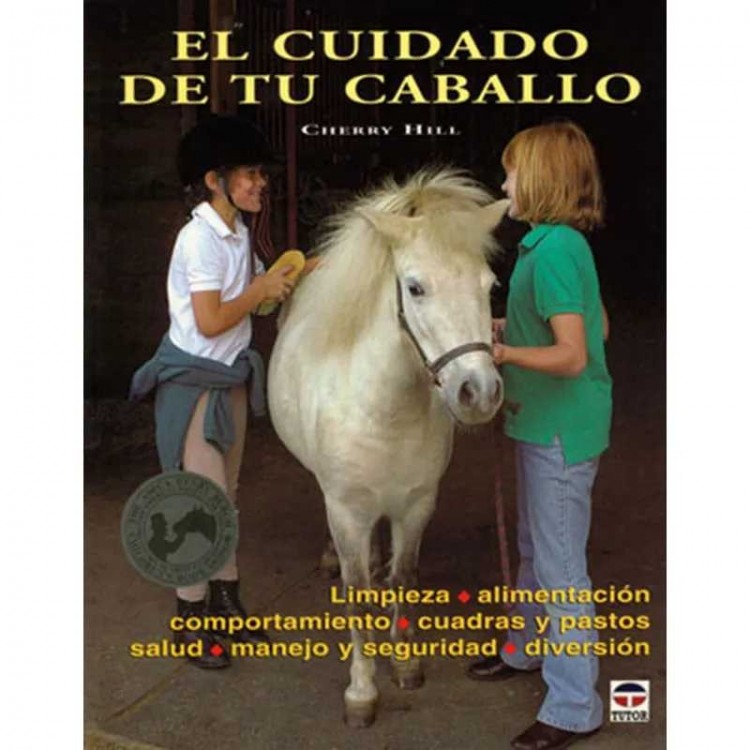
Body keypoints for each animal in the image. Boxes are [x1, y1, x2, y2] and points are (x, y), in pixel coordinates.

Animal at [268, 168, 509, 727]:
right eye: (415, 288)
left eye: (490, 285)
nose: (479, 392)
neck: (385, 408)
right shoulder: (345, 509)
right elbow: (355, 596)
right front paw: (361, 691)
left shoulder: (417, 505)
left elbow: (404, 578)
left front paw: (404, 663)